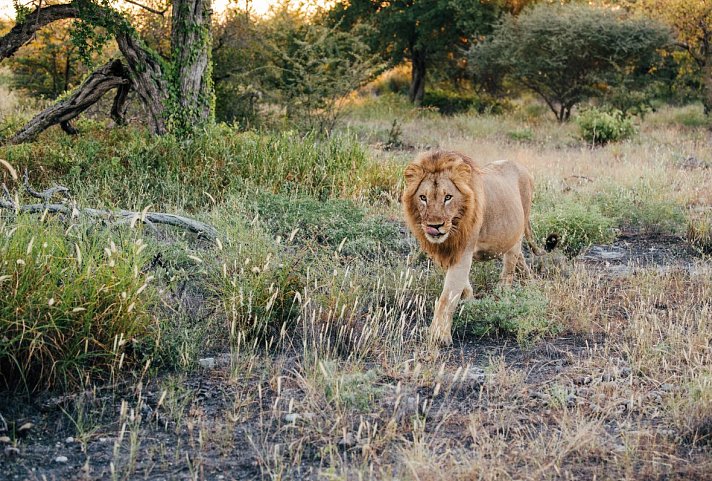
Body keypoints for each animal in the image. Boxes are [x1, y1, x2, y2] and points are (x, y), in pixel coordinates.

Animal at [400, 150, 540, 344]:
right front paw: (472, 303)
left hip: (517, 233)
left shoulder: (464, 252)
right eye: (423, 198)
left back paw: (503, 297)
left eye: (448, 197)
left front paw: (439, 336)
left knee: (509, 268)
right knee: (520, 260)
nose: (435, 226)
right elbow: (463, 287)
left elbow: (447, 296)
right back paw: (531, 283)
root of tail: (522, 167)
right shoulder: (447, 253)